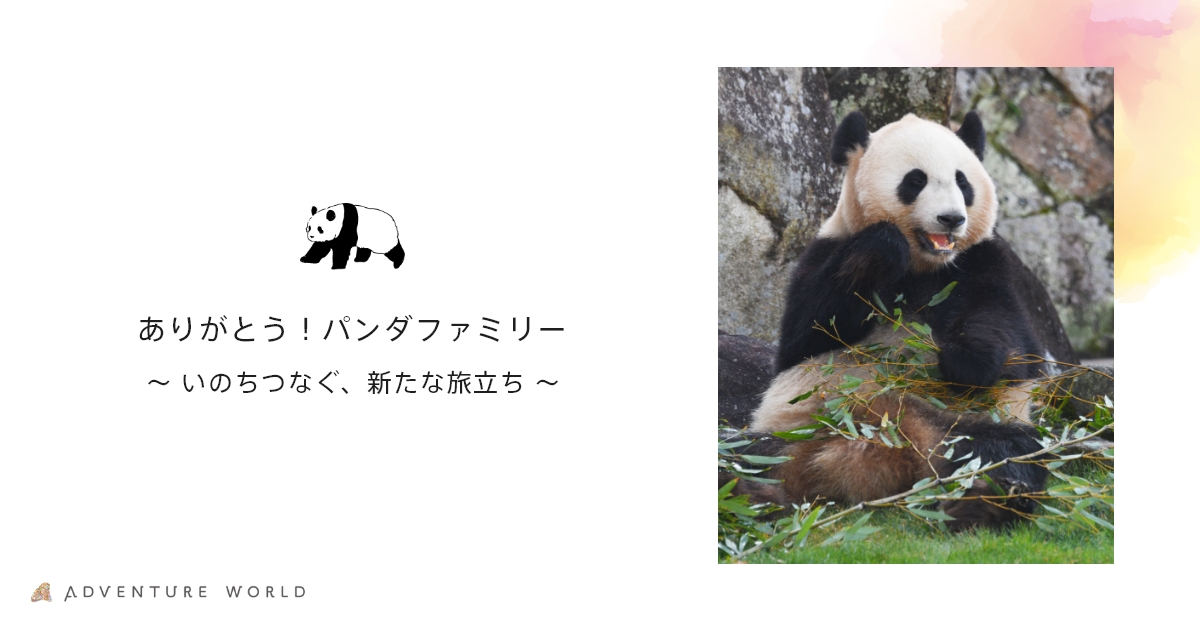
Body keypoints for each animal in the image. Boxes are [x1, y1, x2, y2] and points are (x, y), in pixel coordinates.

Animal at [727, 111, 1074, 530]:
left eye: (963, 182)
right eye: (915, 180)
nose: (951, 218)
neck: (923, 266)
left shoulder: (984, 264)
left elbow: (1010, 341)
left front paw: (965, 360)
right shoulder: (824, 252)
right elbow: (807, 335)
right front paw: (882, 246)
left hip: (960, 425)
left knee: (1003, 450)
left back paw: (985, 501)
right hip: (793, 431)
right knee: (743, 455)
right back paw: (750, 495)